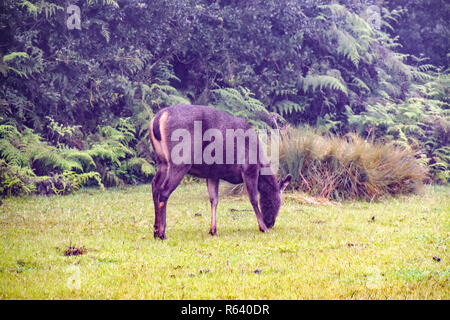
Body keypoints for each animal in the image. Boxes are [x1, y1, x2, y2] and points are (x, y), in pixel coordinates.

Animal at [149, 104, 292, 239]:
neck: (260, 162)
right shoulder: (249, 168)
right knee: (164, 191)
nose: (270, 223)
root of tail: (158, 118)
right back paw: (162, 233)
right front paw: (263, 228)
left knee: (155, 186)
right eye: (277, 203)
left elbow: (214, 200)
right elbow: (253, 199)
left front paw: (213, 230)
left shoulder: (213, 174)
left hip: (162, 161)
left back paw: (155, 230)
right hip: (180, 159)